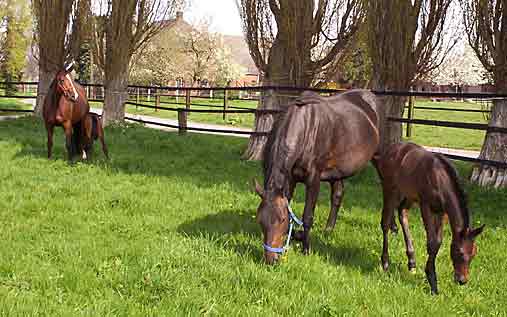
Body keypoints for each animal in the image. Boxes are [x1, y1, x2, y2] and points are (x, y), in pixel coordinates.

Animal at [256, 89, 382, 264]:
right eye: (260, 219)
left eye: (281, 219)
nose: (271, 259)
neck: (305, 127)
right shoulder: (291, 180)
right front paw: (295, 236)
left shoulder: (313, 180)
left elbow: (307, 216)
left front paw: (306, 248)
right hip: (337, 171)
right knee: (337, 195)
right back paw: (328, 230)